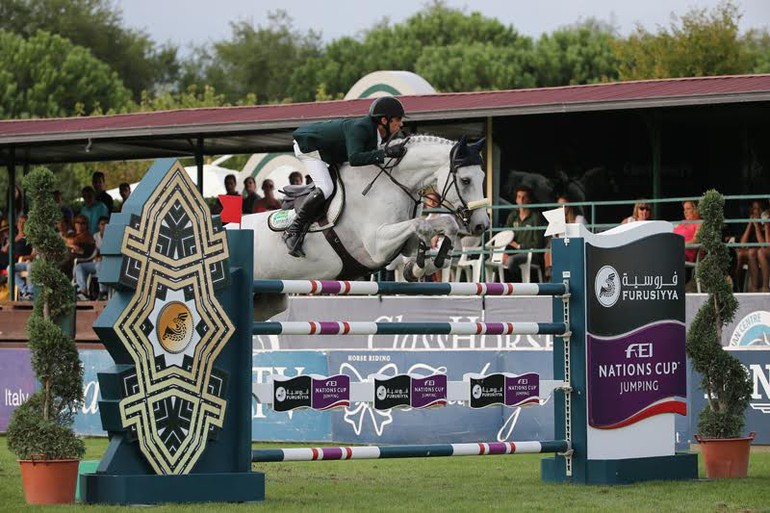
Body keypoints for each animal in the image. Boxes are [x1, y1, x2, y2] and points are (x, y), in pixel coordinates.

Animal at [237, 134, 488, 318]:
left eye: (483, 177)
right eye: (465, 180)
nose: (481, 225)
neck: (392, 183)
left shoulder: (403, 241)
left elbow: (442, 225)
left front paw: (421, 266)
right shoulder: (377, 246)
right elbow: (421, 224)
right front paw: (421, 264)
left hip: (269, 299)